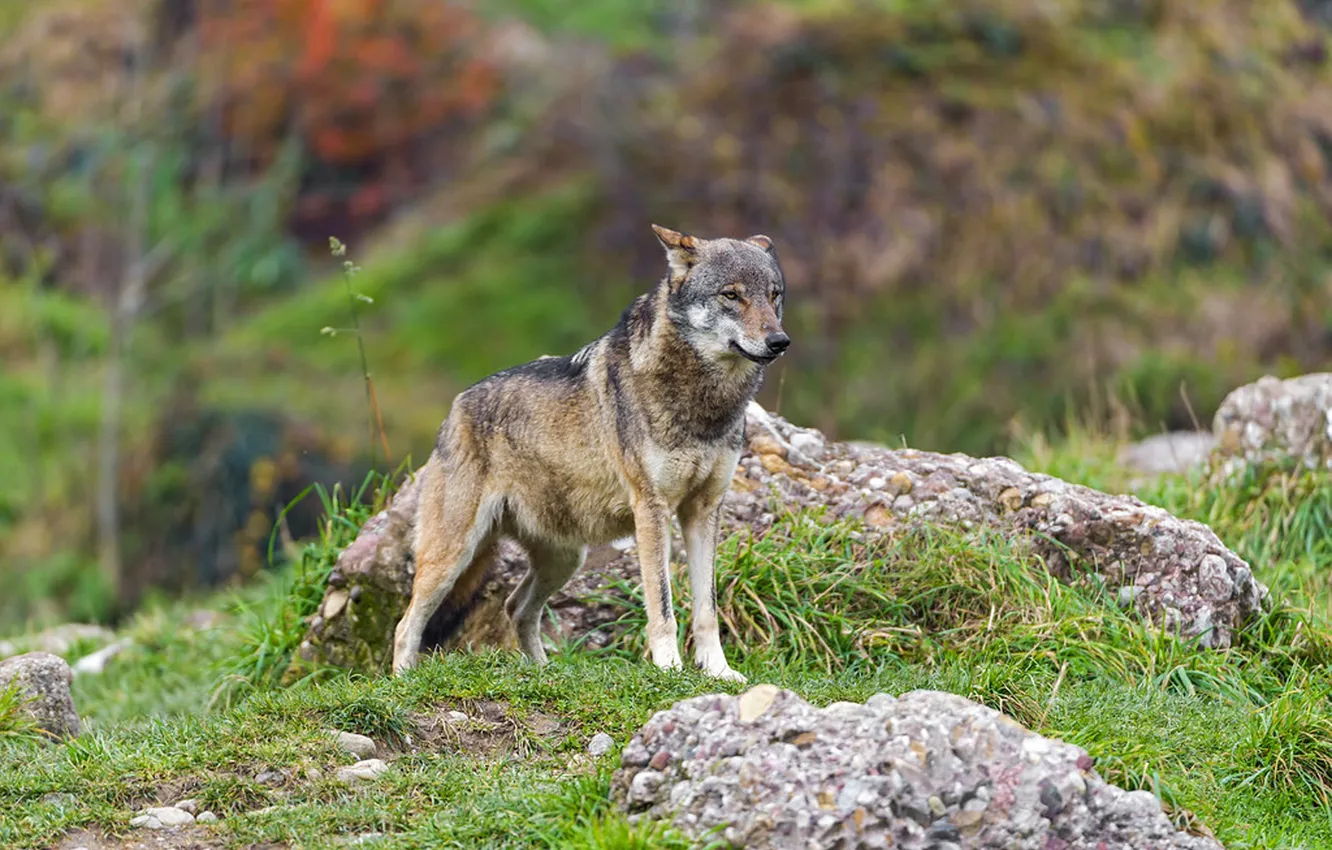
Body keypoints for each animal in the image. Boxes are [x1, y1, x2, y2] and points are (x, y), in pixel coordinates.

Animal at [391, 224, 790, 683]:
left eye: (774, 295)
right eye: (732, 295)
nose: (779, 341)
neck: (705, 404)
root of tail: (455, 407)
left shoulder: (704, 511)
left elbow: (706, 609)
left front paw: (719, 673)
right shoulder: (651, 511)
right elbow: (663, 607)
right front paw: (670, 669)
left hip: (565, 559)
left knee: (515, 606)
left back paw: (544, 673)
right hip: (452, 556)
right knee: (406, 624)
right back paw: (403, 681)